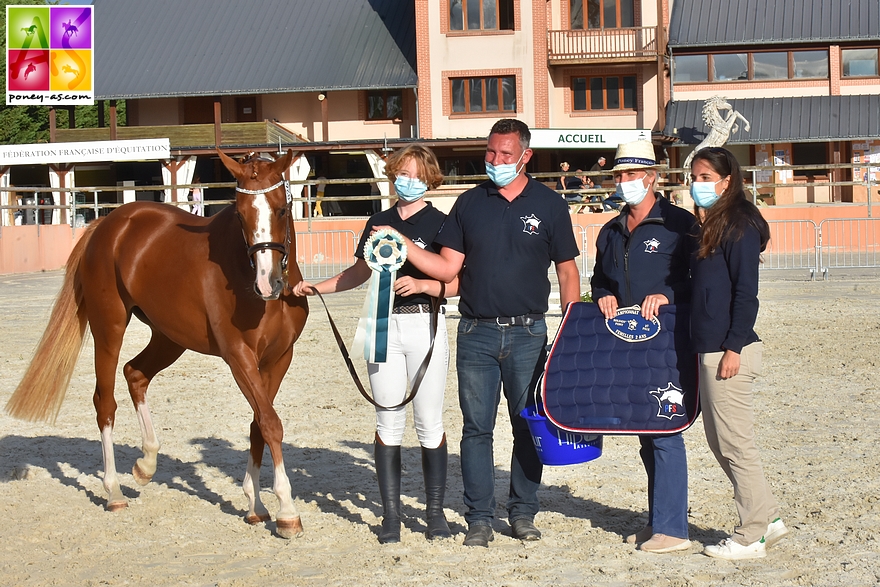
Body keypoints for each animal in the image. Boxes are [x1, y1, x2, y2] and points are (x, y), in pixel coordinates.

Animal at [4, 150, 310, 536]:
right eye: (240, 213)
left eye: (281, 209)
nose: (267, 283)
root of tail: (107, 225)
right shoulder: (239, 356)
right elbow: (270, 423)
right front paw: (286, 509)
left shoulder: (279, 357)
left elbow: (259, 424)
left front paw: (255, 505)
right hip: (109, 328)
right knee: (105, 402)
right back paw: (114, 491)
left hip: (169, 337)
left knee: (135, 374)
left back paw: (146, 463)